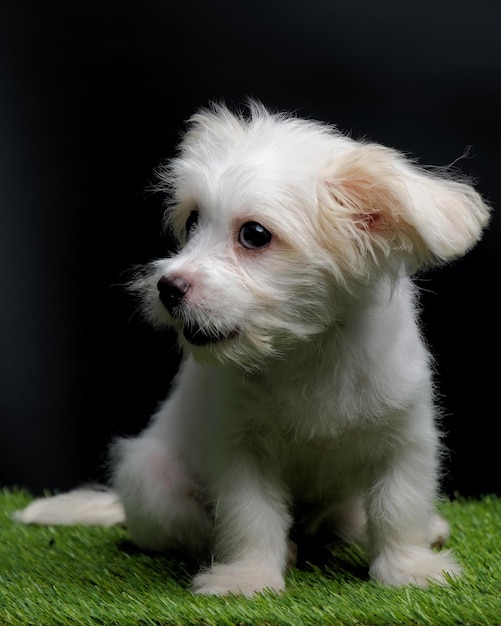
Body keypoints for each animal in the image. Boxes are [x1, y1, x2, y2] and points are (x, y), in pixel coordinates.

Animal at [15, 101, 488, 596]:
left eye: (255, 234)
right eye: (193, 220)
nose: (167, 288)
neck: (308, 350)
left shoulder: (405, 439)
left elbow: (398, 507)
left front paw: (409, 568)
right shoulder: (241, 451)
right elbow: (250, 516)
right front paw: (248, 577)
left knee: (347, 517)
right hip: (151, 481)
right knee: (198, 527)